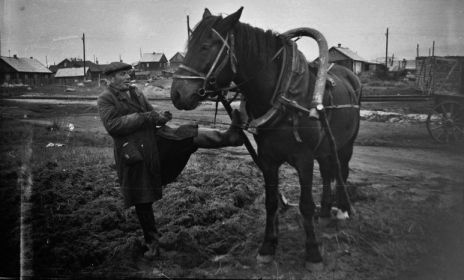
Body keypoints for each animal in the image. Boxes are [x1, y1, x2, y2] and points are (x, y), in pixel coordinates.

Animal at [171, 6, 362, 270]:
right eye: (190, 46)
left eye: (206, 46)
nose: (177, 94)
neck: (283, 94)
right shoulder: (268, 158)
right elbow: (271, 202)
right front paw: (267, 247)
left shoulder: (304, 159)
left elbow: (305, 205)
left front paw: (313, 253)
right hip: (324, 148)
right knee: (326, 171)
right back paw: (324, 212)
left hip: (346, 143)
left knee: (341, 170)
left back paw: (342, 209)